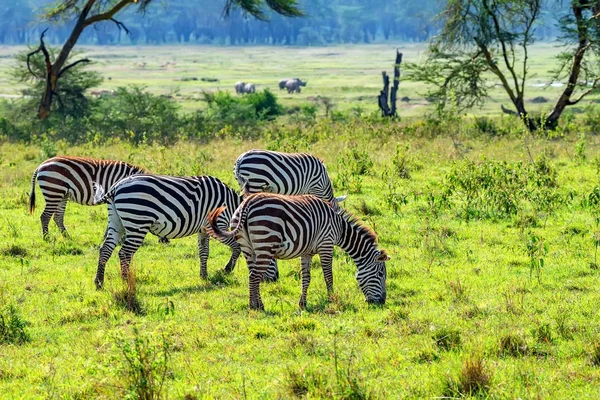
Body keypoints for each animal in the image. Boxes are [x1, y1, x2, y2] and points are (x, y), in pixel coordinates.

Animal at [91, 173, 278, 290]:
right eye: (272, 259)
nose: (276, 279)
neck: (231, 205)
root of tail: (116, 186)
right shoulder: (217, 225)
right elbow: (236, 247)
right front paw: (227, 269)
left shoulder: (204, 229)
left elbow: (204, 252)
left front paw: (204, 275)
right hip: (137, 222)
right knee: (124, 253)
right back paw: (126, 281)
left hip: (117, 222)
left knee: (105, 249)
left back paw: (99, 282)